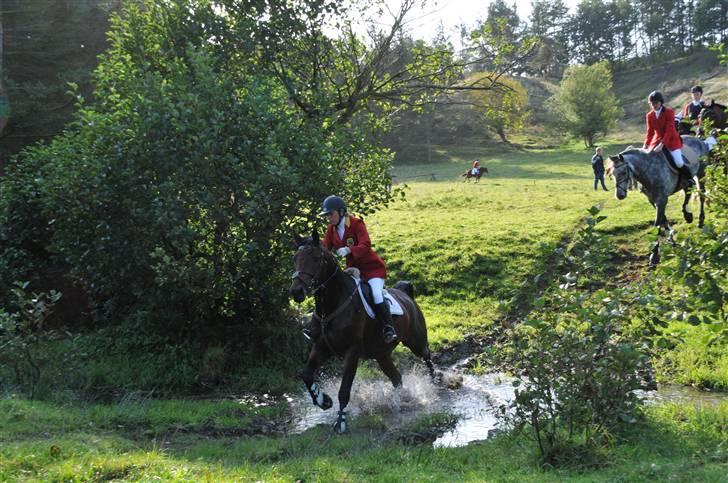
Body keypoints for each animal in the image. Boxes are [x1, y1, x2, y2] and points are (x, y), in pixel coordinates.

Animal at [288, 233, 438, 432]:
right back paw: (399, 399)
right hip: (381, 355)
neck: (330, 306)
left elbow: (344, 390)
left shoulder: (352, 352)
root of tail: (406, 294)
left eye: (315, 259)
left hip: (415, 342)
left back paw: (436, 382)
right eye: (295, 259)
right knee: (396, 377)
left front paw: (341, 422)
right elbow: (306, 374)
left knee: (427, 357)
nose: (296, 292)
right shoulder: (321, 348)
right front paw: (323, 401)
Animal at [604, 134, 712, 266]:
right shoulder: (653, 200)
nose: (620, 195)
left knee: (701, 195)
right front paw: (671, 237)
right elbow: (663, 219)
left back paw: (700, 220)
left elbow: (657, 224)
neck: (648, 169)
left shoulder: (661, 200)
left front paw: (654, 255)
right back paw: (688, 215)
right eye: (612, 174)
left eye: (624, 172)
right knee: (687, 190)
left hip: (701, 174)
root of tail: (700, 140)